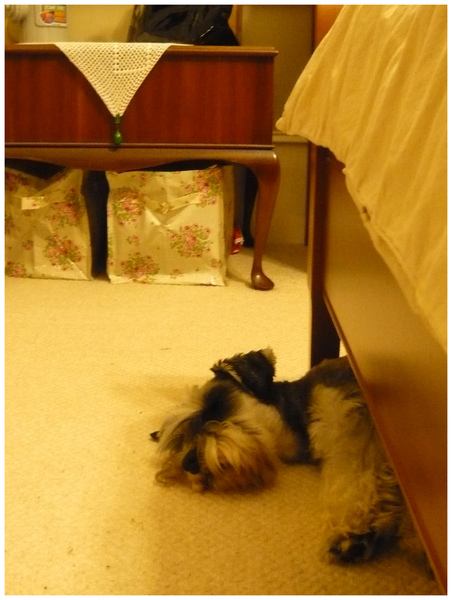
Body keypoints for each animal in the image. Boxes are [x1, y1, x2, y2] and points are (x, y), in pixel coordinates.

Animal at [152, 350, 420, 564]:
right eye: (180, 440)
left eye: (214, 404)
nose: (188, 463)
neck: (299, 408)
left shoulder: (352, 426)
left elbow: (355, 474)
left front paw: (352, 532)